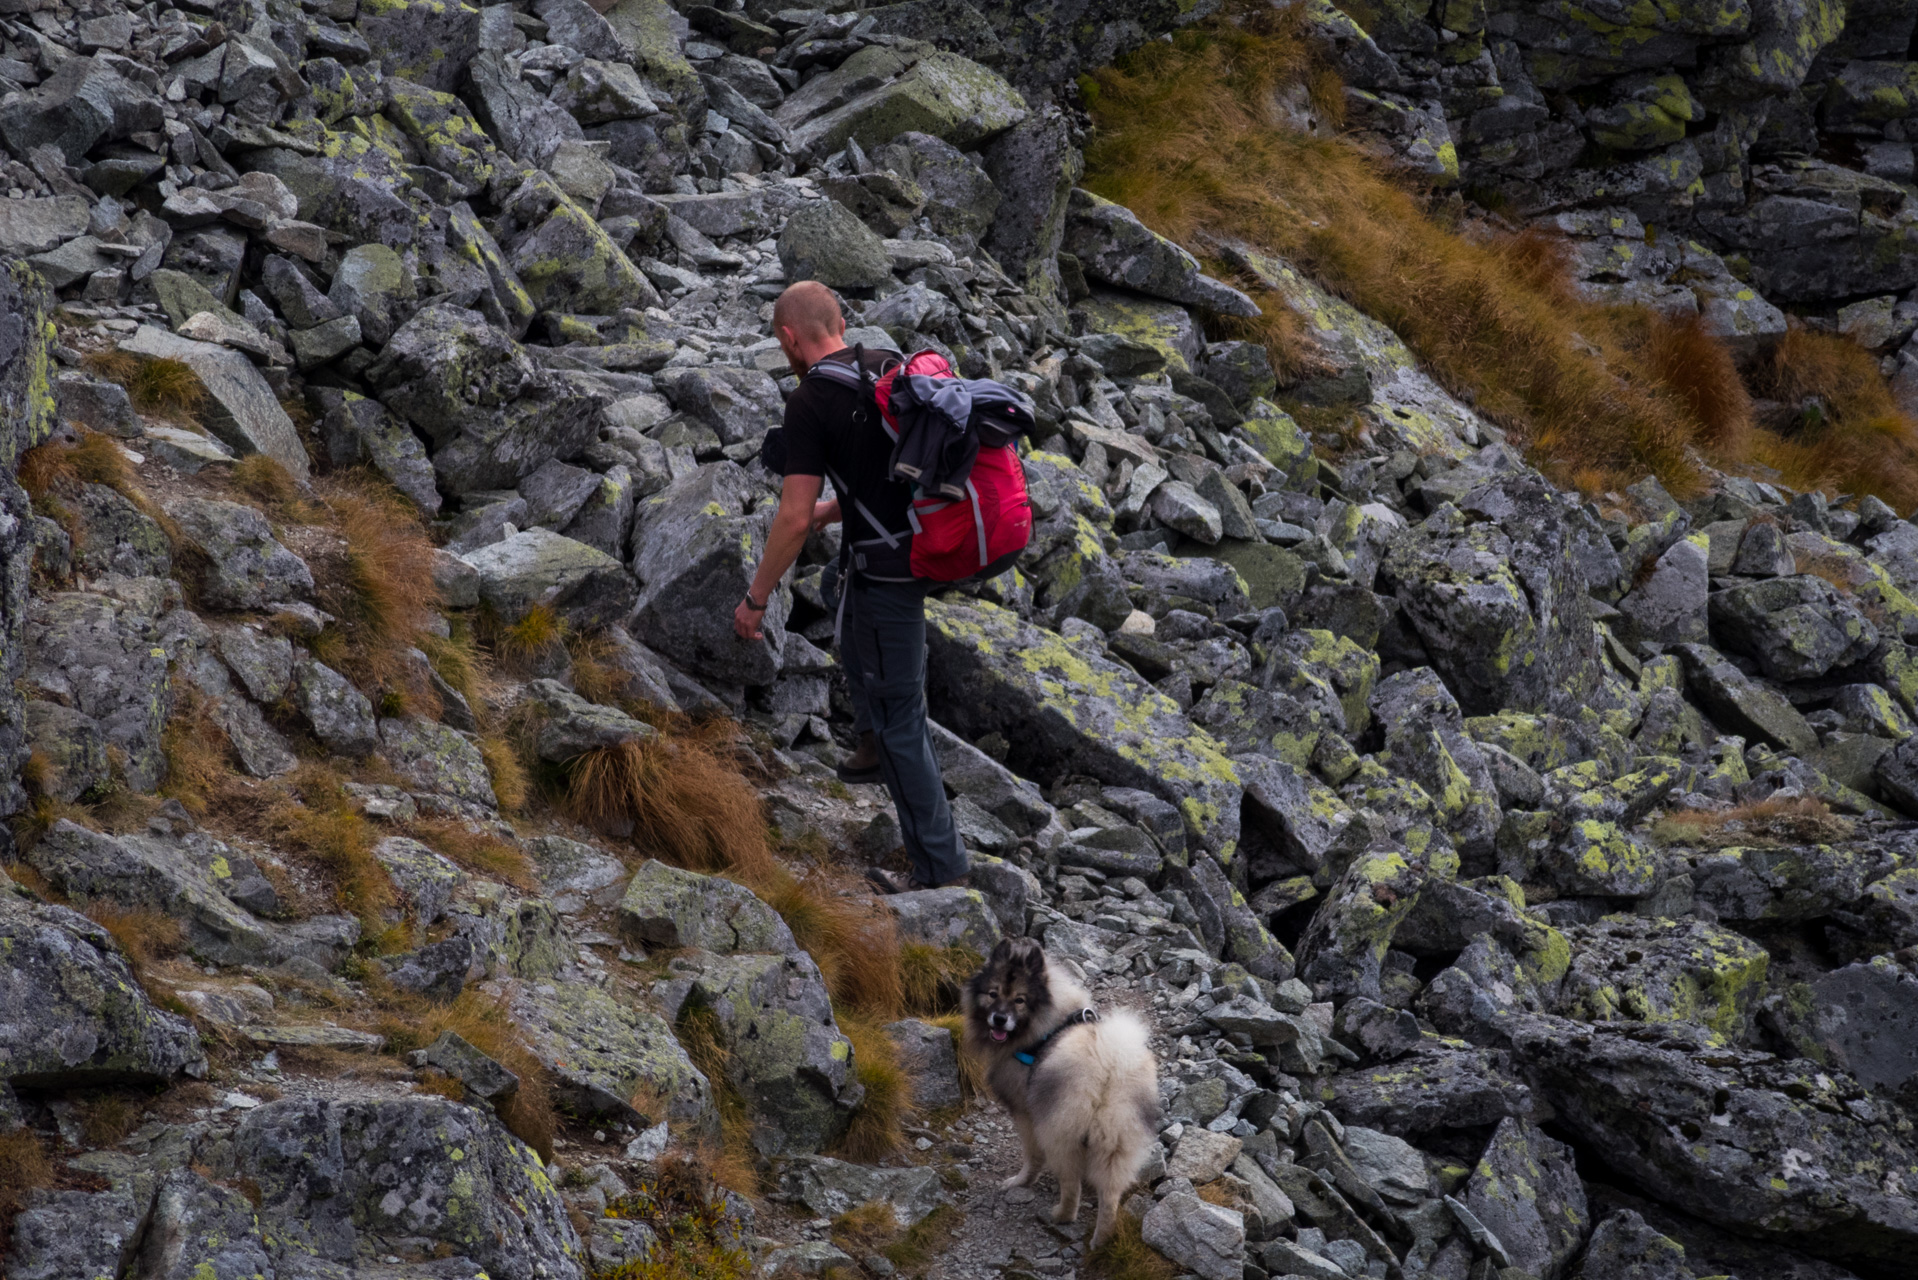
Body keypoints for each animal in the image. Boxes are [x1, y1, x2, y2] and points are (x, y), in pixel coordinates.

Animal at [959, 936, 1150, 1243]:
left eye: (1020, 1000)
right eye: (992, 993)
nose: (999, 1018)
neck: (1045, 1026)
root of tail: (1108, 1064)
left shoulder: (1026, 1115)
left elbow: (1032, 1157)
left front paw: (1019, 1182)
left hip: (1060, 1133)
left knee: (1072, 1186)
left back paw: (1061, 1216)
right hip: (1117, 1143)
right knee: (1110, 1197)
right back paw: (1101, 1241)